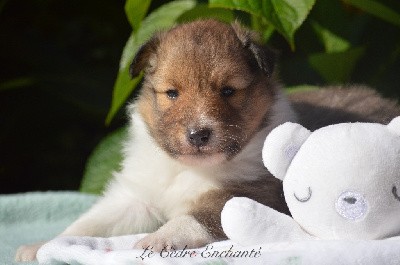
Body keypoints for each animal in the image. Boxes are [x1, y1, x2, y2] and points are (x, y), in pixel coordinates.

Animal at [14, 19, 400, 260]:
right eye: (171, 93)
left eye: (228, 91)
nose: (198, 134)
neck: (186, 169)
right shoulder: (136, 197)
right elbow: (89, 222)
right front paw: (39, 246)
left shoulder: (252, 190)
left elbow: (198, 215)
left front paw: (159, 238)